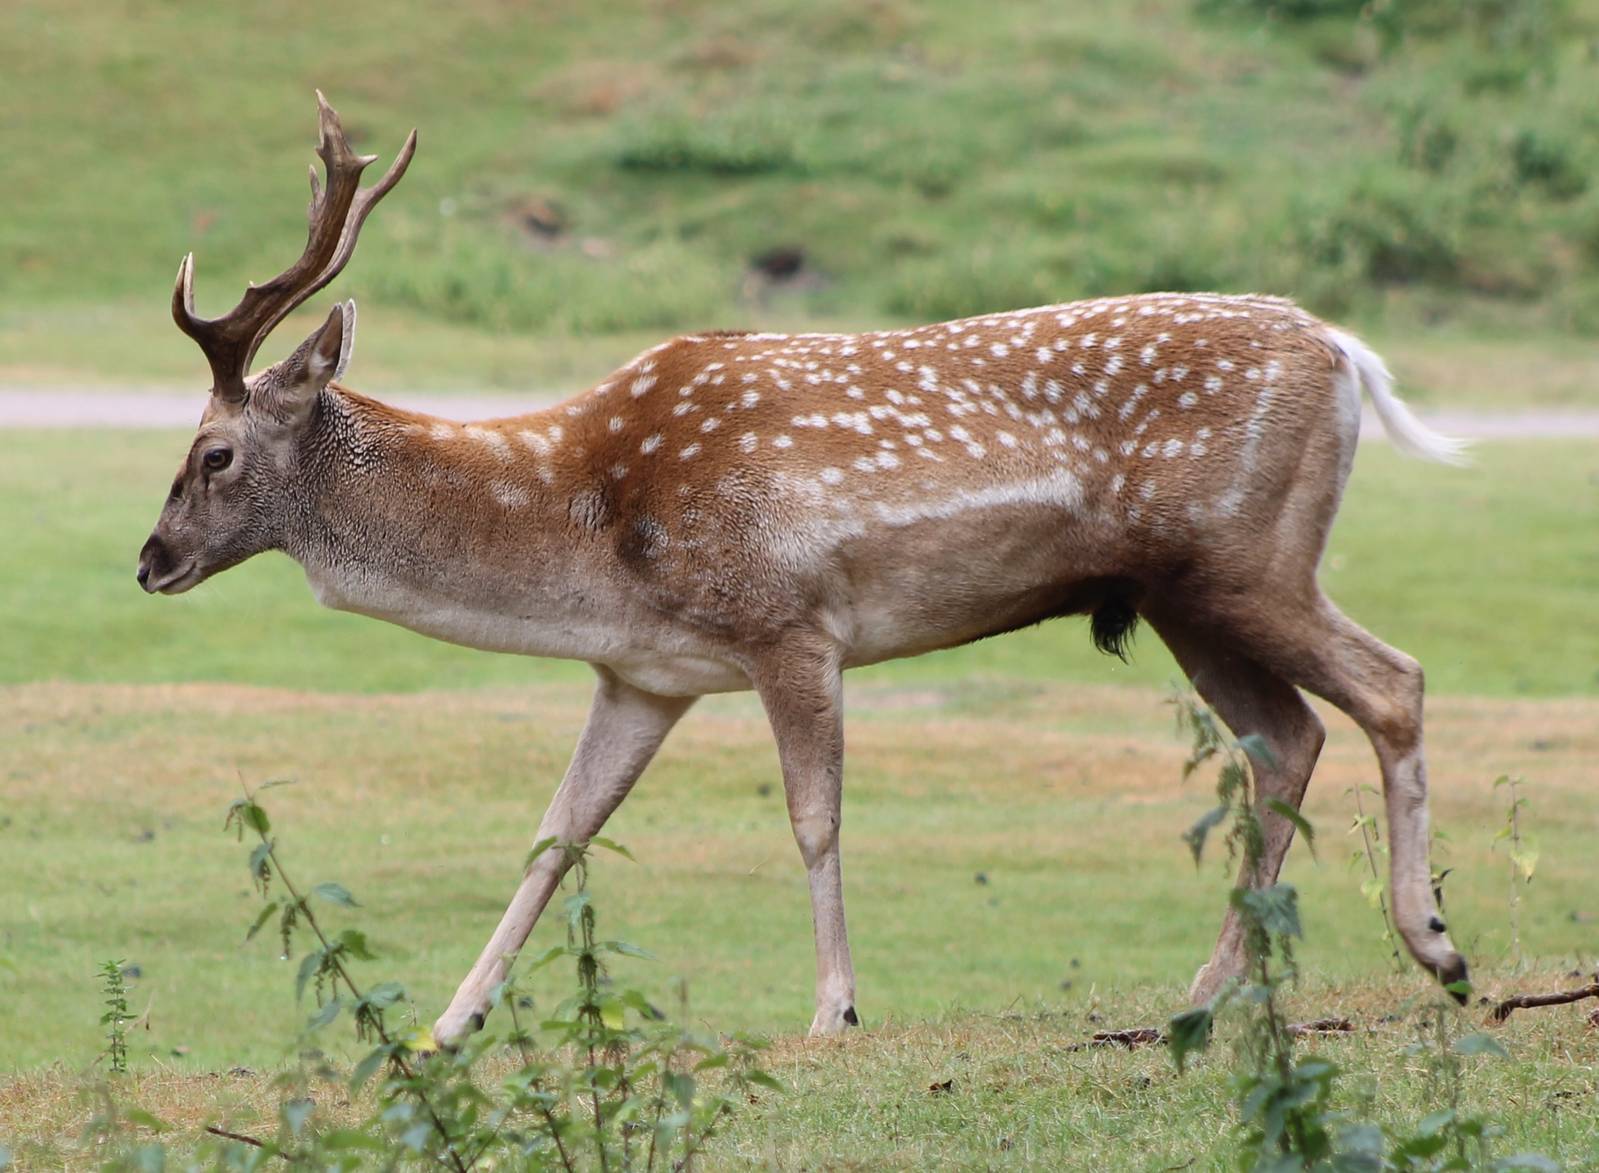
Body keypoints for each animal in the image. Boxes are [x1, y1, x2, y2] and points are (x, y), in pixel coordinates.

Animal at [138, 94, 1471, 1048]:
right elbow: (556, 833)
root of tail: (1345, 350)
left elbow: (813, 820)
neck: (584, 537)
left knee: (1392, 682)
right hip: (1183, 594)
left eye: (211, 453)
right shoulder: (644, 673)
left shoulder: (791, 623)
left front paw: (835, 1008)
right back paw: (1208, 992)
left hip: (1249, 556)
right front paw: (450, 1022)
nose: (148, 561)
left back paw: (1435, 944)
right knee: (1286, 739)